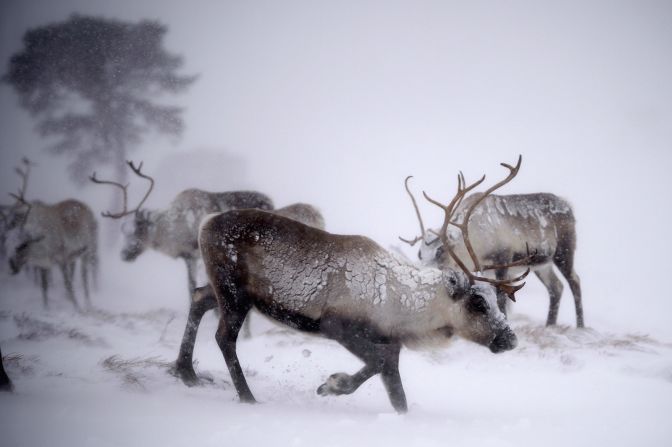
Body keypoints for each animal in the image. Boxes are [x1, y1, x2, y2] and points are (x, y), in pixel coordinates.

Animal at [5, 160, 98, 311]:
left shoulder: (61, 258)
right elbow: (44, 288)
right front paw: (46, 308)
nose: (12, 268)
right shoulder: (44, 265)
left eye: (23, 245)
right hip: (75, 256)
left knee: (85, 278)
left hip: (88, 250)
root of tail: (87, 207)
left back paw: (87, 303)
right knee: (74, 272)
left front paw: (77, 308)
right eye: (7, 245)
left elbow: (67, 284)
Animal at [90, 161, 275, 296]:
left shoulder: (198, 254)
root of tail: (270, 201)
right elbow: (191, 286)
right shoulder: (188, 256)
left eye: (138, 230)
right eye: (123, 231)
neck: (172, 228)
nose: (123, 255)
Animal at [173, 157, 528, 413]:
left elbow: (397, 395)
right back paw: (247, 397)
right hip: (234, 292)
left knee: (199, 297)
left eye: (498, 300)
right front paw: (330, 385)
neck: (405, 305)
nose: (510, 339)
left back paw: (186, 373)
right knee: (223, 336)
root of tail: (205, 224)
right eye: (477, 302)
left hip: (227, 290)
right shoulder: (338, 324)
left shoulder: (391, 344)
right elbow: (375, 365)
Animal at [400, 160, 583, 328]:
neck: (475, 237)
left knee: (574, 281)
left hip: (564, 252)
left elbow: (501, 298)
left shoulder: (503, 260)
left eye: (440, 251)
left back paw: (580, 325)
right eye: (420, 253)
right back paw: (549, 325)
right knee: (556, 287)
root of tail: (568, 205)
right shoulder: (483, 269)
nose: (419, 276)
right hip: (541, 265)